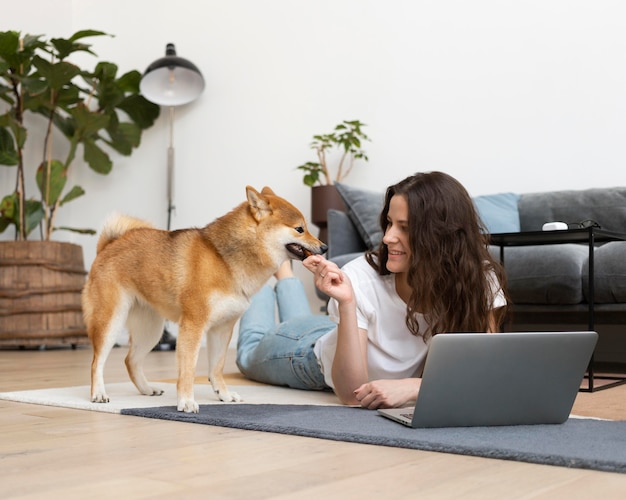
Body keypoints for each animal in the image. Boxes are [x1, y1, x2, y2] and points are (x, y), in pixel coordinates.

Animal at [81, 186, 326, 412]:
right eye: (299, 229)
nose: (324, 247)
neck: (223, 260)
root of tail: (108, 246)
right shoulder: (193, 325)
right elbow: (188, 369)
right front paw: (186, 401)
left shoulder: (222, 328)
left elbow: (216, 368)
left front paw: (224, 395)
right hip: (111, 321)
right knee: (96, 362)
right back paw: (99, 393)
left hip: (151, 330)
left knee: (130, 360)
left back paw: (147, 389)